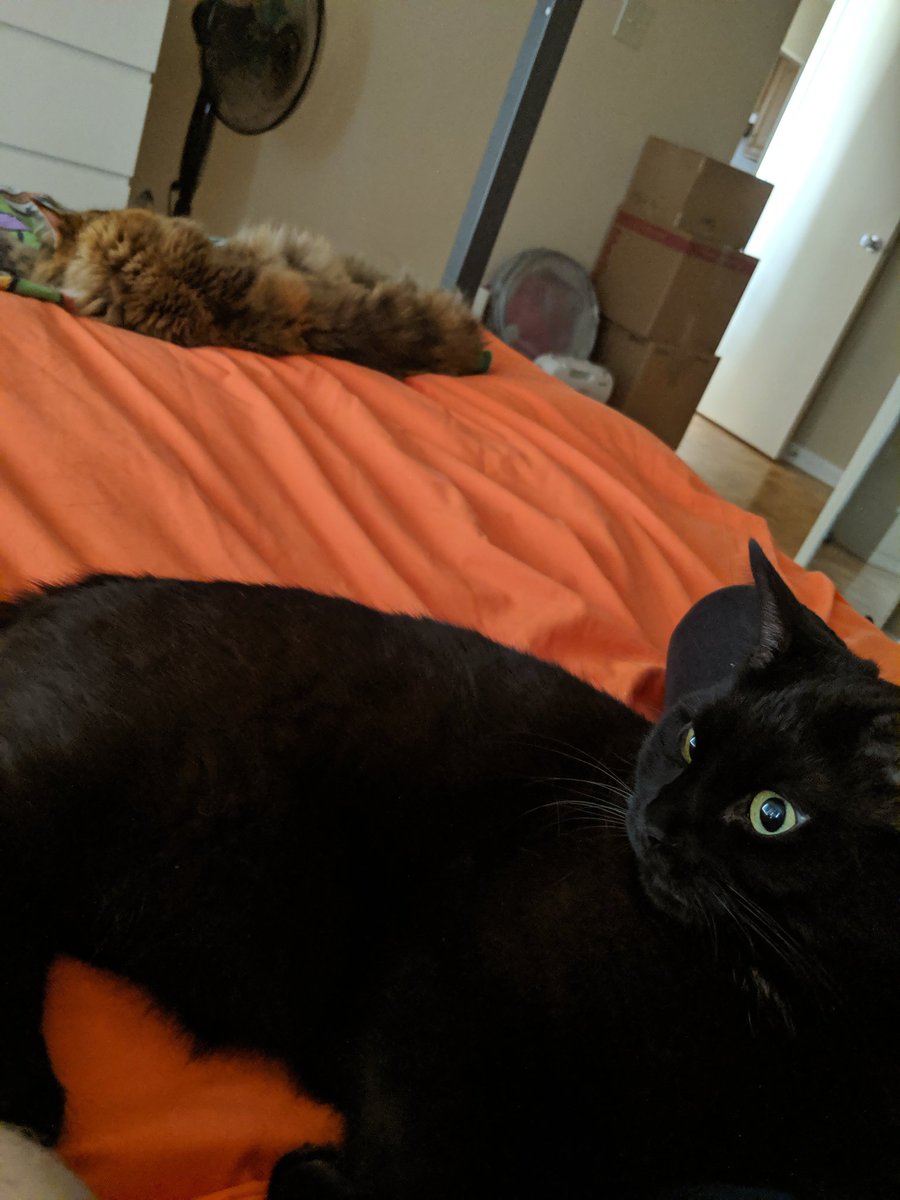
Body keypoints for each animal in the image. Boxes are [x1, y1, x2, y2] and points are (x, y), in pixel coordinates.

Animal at [0, 545, 896, 1199]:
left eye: (772, 814)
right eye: (691, 739)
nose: (653, 820)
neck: (774, 1004)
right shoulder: (444, 988)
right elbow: (421, 1171)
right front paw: (312, 1176)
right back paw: (27, 1099)